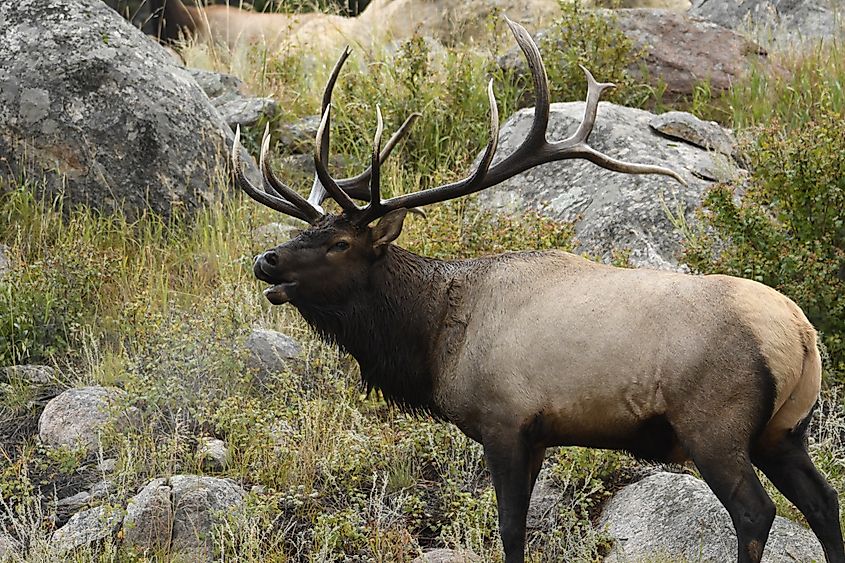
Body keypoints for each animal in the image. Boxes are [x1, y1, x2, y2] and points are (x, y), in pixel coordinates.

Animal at [231, 17, 845, 563]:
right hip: (786, 429)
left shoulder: (505, 420)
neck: (435, 340)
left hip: (715, 425)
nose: (266, 260)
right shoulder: (543, 433)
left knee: (756, 512)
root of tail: (801, 333)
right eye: (305, 232)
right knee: (824, 501)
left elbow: (510, 529)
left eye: (339, 244)